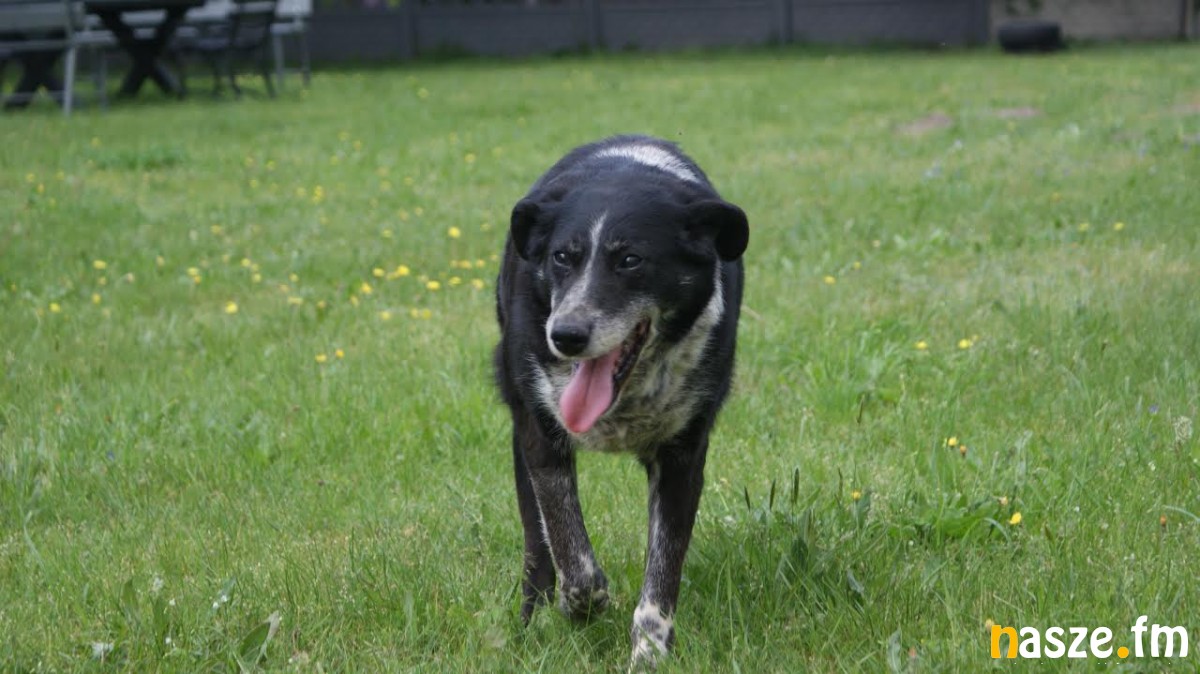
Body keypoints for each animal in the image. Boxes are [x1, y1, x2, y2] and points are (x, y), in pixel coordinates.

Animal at [493, 135, 748, 667]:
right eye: (561, 258)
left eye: (630, 260)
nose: (565, 336)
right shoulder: (541, 436)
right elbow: (573, 556)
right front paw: (582, 609)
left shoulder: (682, 456)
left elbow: (662, 573)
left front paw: (649, 655)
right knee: (536, 541)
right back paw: (532, 615)